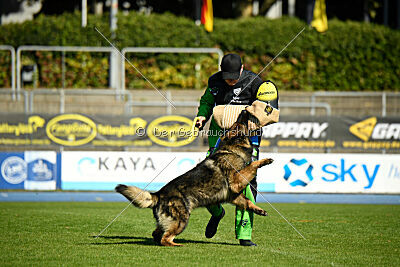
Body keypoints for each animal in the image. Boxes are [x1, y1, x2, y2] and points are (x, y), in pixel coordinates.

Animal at [114, 111, 274, 247]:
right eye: (237, 124)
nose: (244, 110)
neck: (232, 148)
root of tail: (158, 195)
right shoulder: (236, 182)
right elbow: (251, 165)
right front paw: (265, 161)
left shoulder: (233, 195)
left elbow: (247, 202)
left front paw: (259, 210)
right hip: (182, 220)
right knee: (166, 238)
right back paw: (177, 244)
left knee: (157, 234)